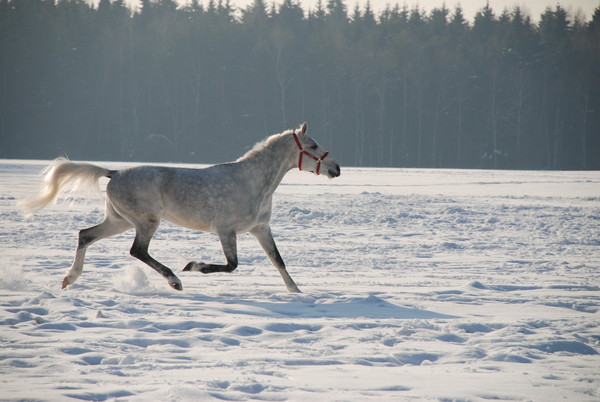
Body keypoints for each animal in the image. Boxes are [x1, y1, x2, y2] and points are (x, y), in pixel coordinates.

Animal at [21, 122, 340, 292]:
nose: (336, 168)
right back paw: (175, 280)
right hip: (146, 221)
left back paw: (69, 279)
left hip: (119, 221)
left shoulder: (260, 228)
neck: (252, 183)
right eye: (312, 146)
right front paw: (193, 266)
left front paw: (296, 291)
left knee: (85, 235)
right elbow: (231, 265)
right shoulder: (226, 230)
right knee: (137, 251)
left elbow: (278, 260)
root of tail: (114, 172)